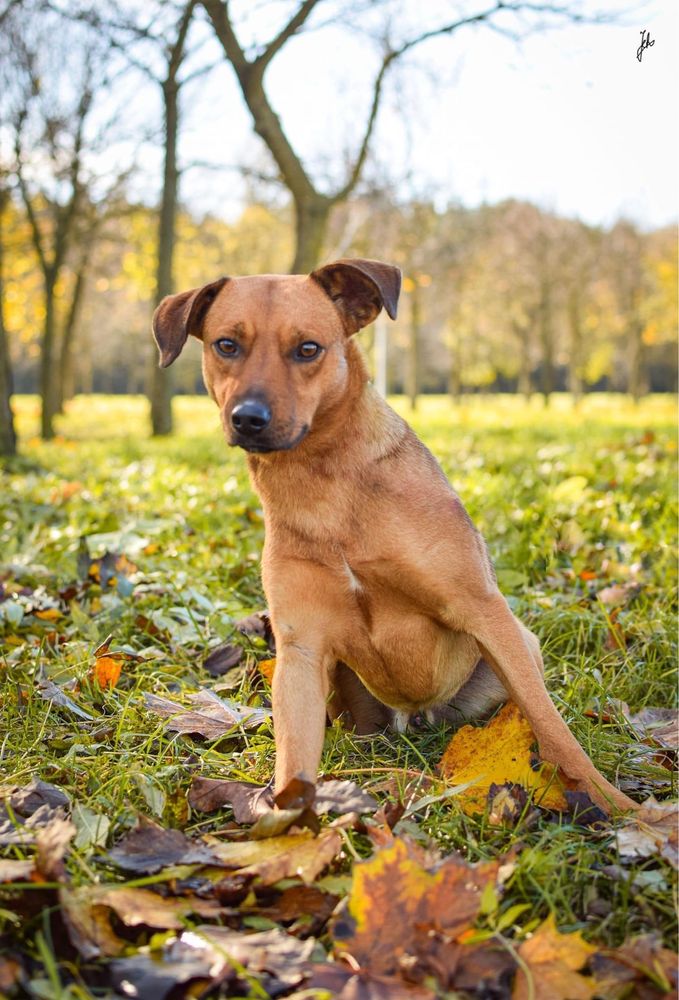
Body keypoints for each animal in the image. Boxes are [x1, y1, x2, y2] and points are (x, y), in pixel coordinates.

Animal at [154, 258, 636, 812]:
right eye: (226, 344)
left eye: (308, 349)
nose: (248, 418)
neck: (325, 487)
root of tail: (415, 718)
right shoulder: (300, 651)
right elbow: (294, 763)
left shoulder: (483, 611)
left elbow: (555, 731)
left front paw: (616, 805)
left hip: (518, 647)